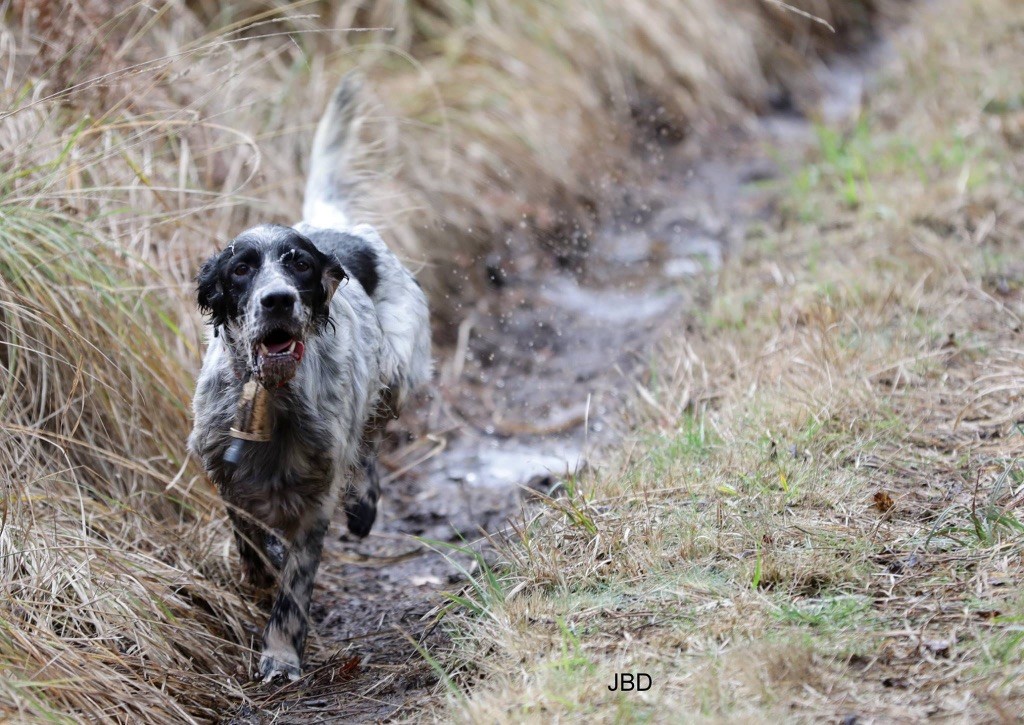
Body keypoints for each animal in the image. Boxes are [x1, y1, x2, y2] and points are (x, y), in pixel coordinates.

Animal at [189, 81, 432, 684]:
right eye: (240, 269)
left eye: (298, 264)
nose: (278, 300)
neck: (272, 397)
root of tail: (337, 227)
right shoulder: (220, 465)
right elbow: (247, 533)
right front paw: (260, 573)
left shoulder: (316, 497)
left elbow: (295, 588)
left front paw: (280, 655)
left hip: (398, 371)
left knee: (372, 438)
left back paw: (364, 505)